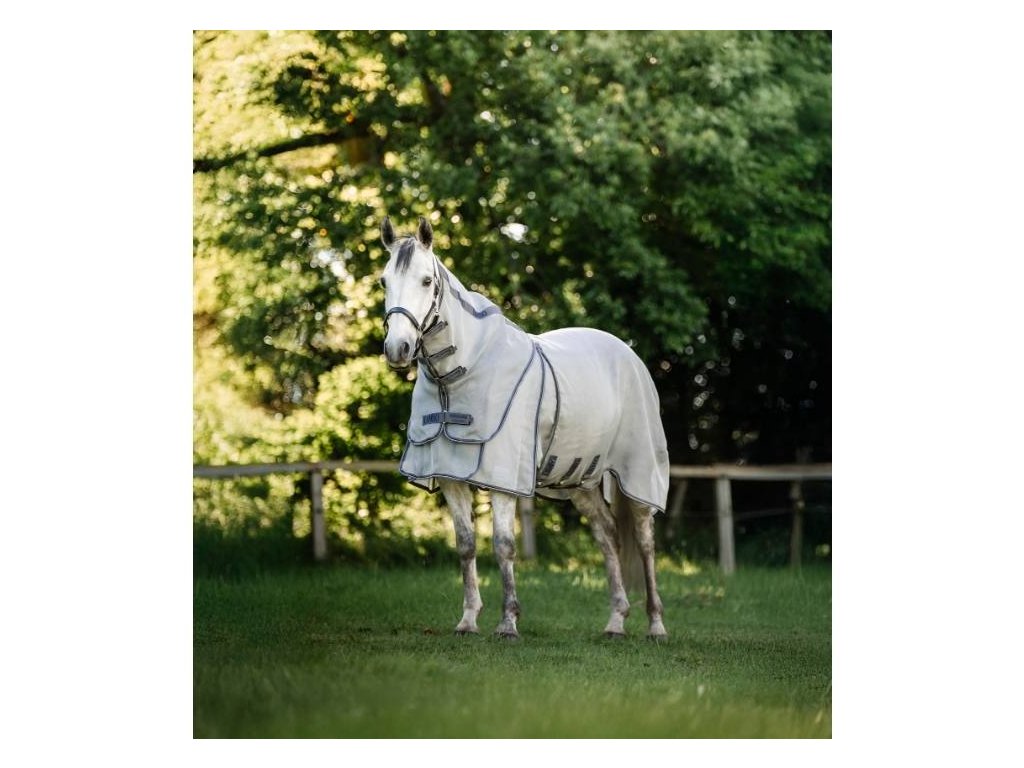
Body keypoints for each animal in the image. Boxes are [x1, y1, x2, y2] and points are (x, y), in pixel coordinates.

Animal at [379, 215, 669, 639]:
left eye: (426, 281)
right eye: (384, 280)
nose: (397, 349)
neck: (461, 373)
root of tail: (627, 353)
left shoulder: (503, 476)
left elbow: (503, 545)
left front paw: (508, 622)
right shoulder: (449, 475)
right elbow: (465, 544)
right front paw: (468, 620)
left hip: (639, 471)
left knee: (645, 543)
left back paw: (656, 625)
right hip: (580, 480)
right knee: (608, 536)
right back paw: (615, 622)